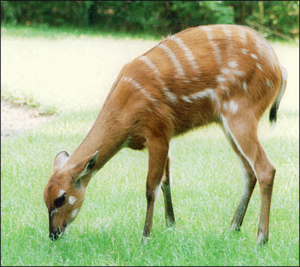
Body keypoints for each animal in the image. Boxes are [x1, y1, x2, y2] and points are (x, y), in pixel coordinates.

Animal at [43, 24, 288, 247]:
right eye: (45, 199)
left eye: (60, 198)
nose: (53, 234)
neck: (126, 117)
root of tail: (280, 68)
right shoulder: (162, 138)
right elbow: (166, 181)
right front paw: (171, 225)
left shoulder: (158, 131)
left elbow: (151, 187)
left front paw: (145, 237)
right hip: (226, 123)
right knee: (249, 171)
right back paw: (232, 229)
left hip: (241, 114)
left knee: (266, 169)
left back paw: (261, 239)